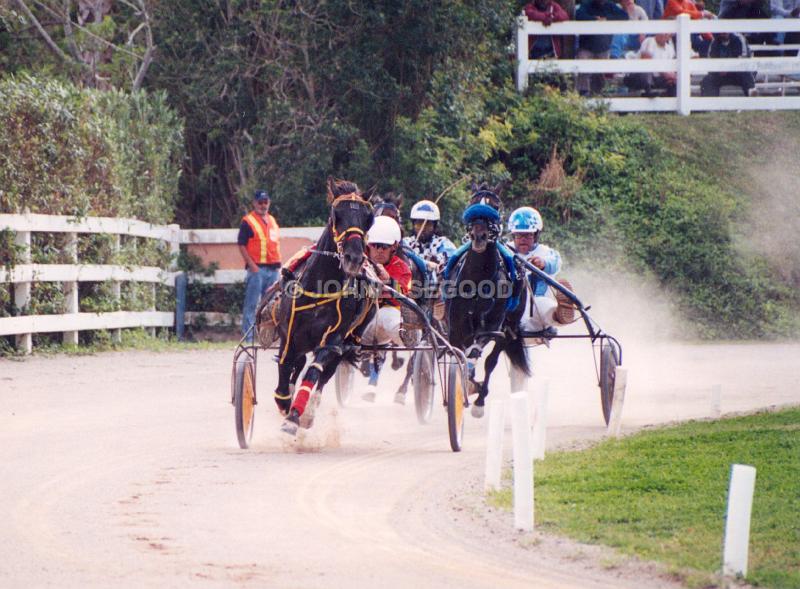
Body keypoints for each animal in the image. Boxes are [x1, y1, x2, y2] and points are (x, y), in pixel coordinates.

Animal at [272, 177, 378, 434]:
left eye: (368, 218)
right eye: (335, 214)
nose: (353, 258)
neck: (320, 289)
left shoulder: (332, 340)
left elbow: (314, 372)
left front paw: (295, 416)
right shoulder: (288, 335)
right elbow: (284, 367)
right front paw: (284, 401)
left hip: (348, 340)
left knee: (325, 373)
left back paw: (308, 411)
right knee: (297, 363)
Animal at [440, 186, 528, 416]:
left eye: (494, 206)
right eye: (473, 203)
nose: (479, 235)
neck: (478, 279)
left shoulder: (491, 328)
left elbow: (477, 354)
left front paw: (474, 389)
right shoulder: (455, 329)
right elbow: (458, 354)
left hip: (508, 327)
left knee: (491, 360)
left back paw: (480, 399)